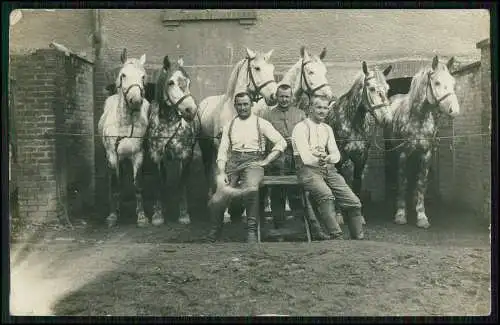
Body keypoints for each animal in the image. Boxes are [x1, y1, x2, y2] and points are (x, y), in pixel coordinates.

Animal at [97, 48, 150, 228]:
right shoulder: (112, 155)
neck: (126, 123)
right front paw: (113, 216)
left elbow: (138, 185)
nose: (136, 101)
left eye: (143, 76)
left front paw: (141, 217)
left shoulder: (138, 155)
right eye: (123, 75)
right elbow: (115, 185)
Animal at [146, 55, 199, 225]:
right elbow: (158, 183)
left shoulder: (186, 157)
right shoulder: (156, 157)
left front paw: (183, 215)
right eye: (171, 82)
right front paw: (157, 215)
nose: (190, 110)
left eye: (188, 82)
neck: (168, 124)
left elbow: (181, 185)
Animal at [326, 60, 392, 224]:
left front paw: (359, 215)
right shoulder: (339, 159)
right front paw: (338, 215)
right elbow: (339, 183)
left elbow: (356, 183)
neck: (352, 122)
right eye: (372, 88)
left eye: (388, 88)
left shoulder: (361, 157)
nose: (387, 119)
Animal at [376, 55, 458, 228]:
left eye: (453, 82)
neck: (418, 118)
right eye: (437, 82)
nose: (454, 110)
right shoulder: (402, 154)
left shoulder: (425, 154)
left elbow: (421, 183)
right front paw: (400, 214)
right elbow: (402, 181)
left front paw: (421, 215)